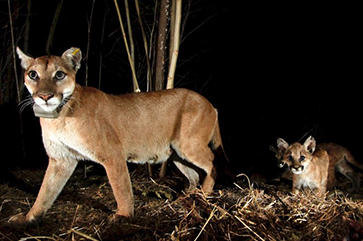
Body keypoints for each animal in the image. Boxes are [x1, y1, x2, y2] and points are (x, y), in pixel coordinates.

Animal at [7, 47, 225, 228]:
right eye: (33, 74)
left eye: (59, 74)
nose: (45, 96)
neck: (58, 116)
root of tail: (210, 104)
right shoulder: (61, 159)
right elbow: (45, 192)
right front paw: (28, 218)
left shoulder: (112, 154)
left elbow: (121, 187)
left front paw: (123, 215)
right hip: (177, 154)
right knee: (194, 175)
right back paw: (187, 197)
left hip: (188, 145)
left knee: (213, 163)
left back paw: (205, 194)